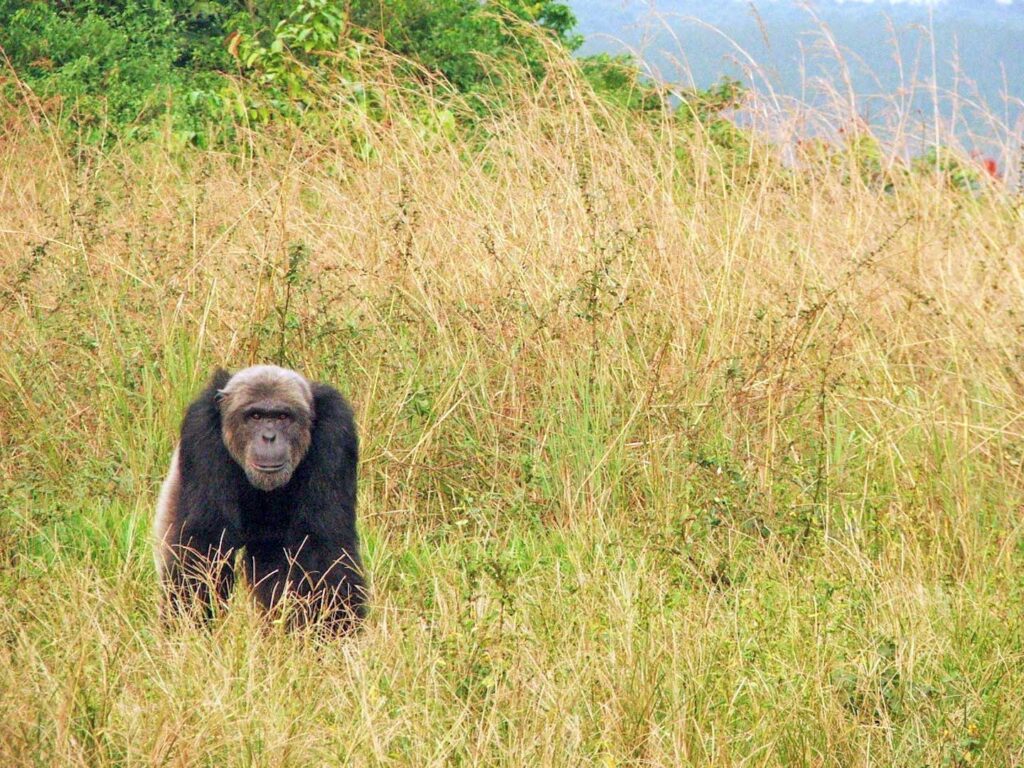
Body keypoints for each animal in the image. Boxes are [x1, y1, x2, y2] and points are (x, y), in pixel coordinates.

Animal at [153, 365, 366, 634]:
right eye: (255, 416)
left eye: (283, 417)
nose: (269, 436)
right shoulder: (201, 430)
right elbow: (207, 539)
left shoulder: (336, 432)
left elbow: (323, 541)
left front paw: (331, 629)